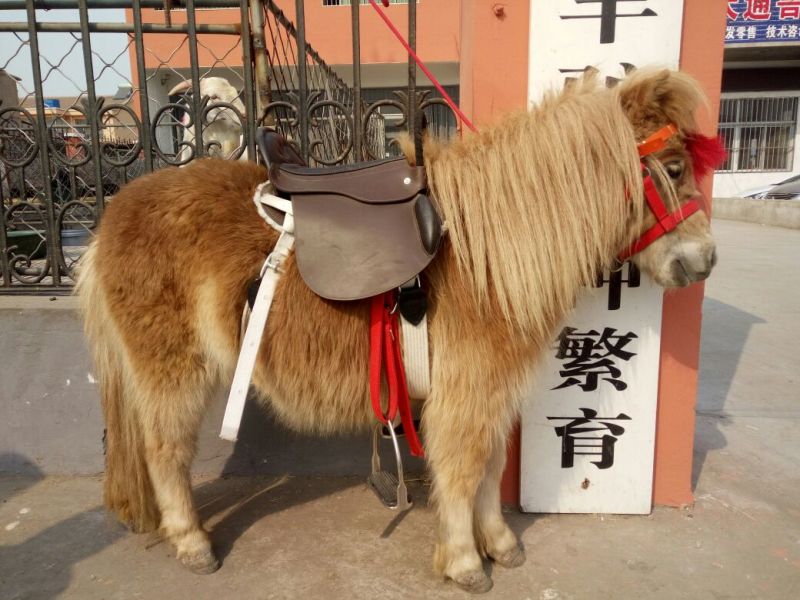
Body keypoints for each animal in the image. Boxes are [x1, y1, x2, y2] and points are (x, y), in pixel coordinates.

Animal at [76, 68, 719, 593]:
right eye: (676, 167)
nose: (706, 260)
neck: (489, 254)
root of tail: (113, 214)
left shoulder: (490, 393)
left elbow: (489, 468)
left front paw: (499, 543)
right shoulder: (466, 394)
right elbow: (463, 469)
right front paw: (464, 561)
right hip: (172, 370)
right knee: (165, 452)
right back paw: (191, 542)